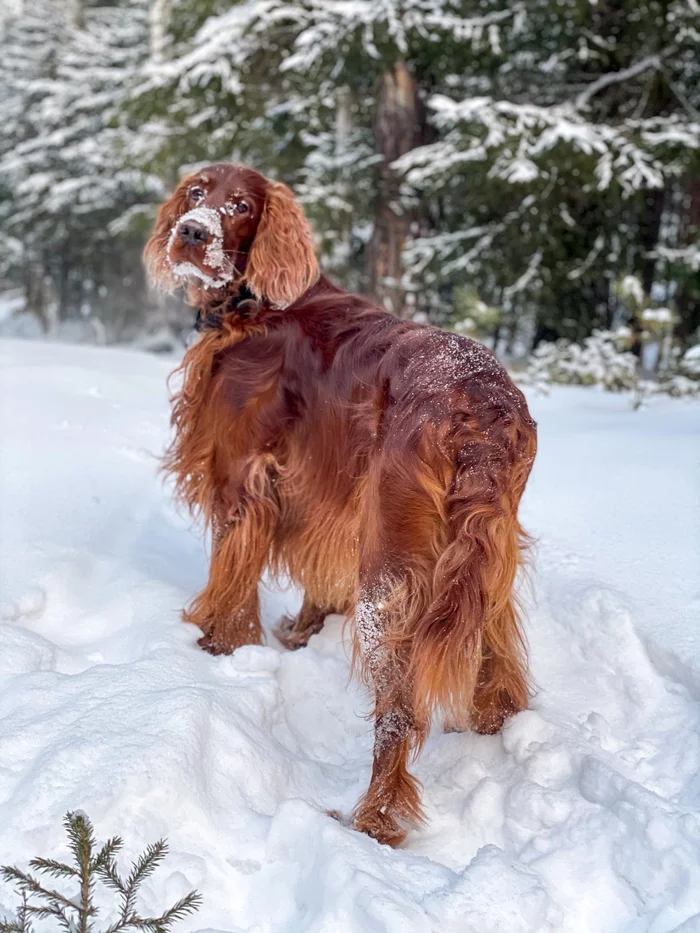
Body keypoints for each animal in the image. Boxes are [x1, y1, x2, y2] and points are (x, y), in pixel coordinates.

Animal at [144, 164, 536, 848]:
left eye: (239, 206)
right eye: (196, 192)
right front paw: (298, 635)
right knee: (497, 661)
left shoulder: (243, 480)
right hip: (479, 558)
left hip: (391, 575)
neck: (254, 305)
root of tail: (483, 406)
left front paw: (216, 649)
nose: (192, 232)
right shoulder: (322, 499)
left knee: (398, 711)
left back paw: (369, 821)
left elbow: (230, 581)